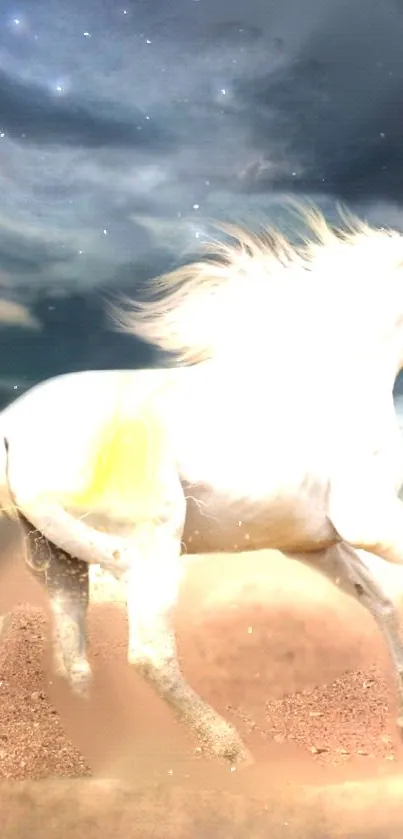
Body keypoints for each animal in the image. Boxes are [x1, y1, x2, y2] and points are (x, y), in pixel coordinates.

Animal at [0, 205, 403, 768]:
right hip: (149, 544)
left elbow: (383, 603)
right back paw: (233, 754)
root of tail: (11, 426)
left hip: (60, 563)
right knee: (150, 653)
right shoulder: (368, 520)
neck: (331, 381)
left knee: (75, 659)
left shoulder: (314, 544)